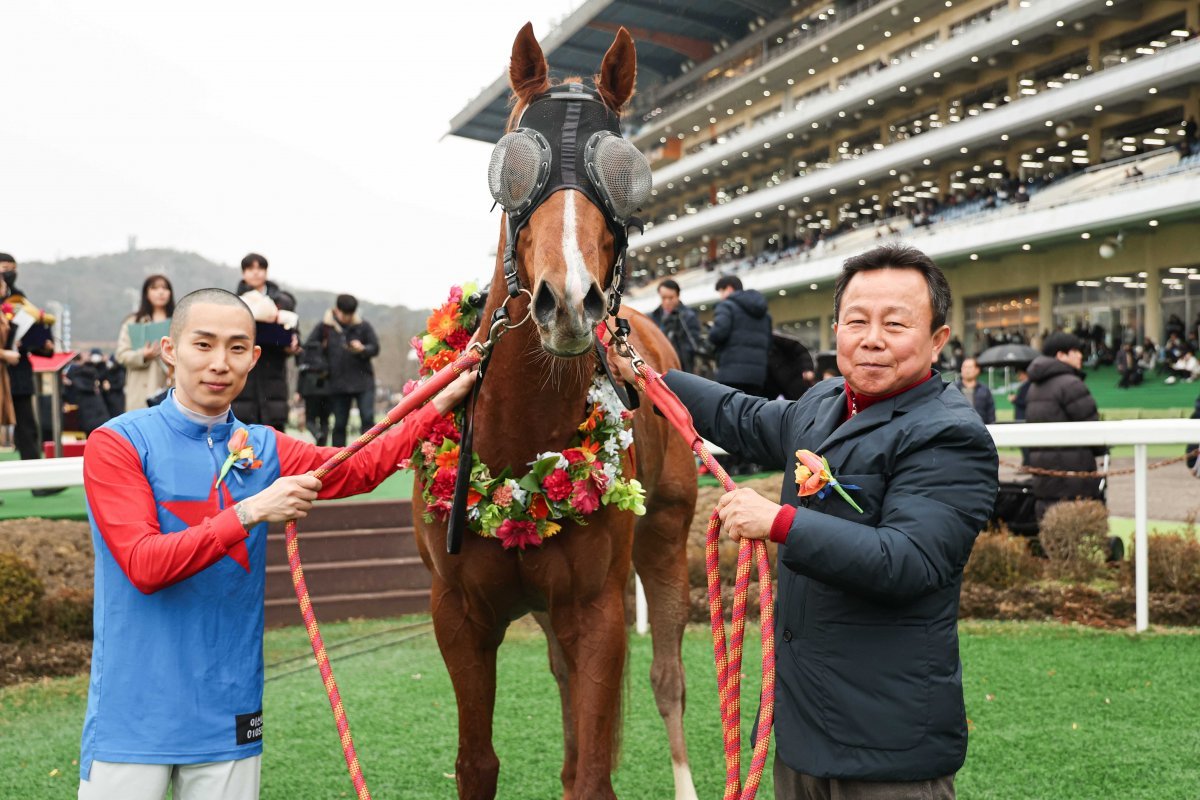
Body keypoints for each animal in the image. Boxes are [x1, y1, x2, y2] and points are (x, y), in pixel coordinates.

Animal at [412, 23, 700, 800]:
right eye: (513, 156)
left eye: (623, 166)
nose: (568, 300)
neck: (518, 445)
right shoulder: (459, 614)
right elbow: (477, 765)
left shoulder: (597, 609)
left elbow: (596, 773)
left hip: (666, 540)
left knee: (668, 680)